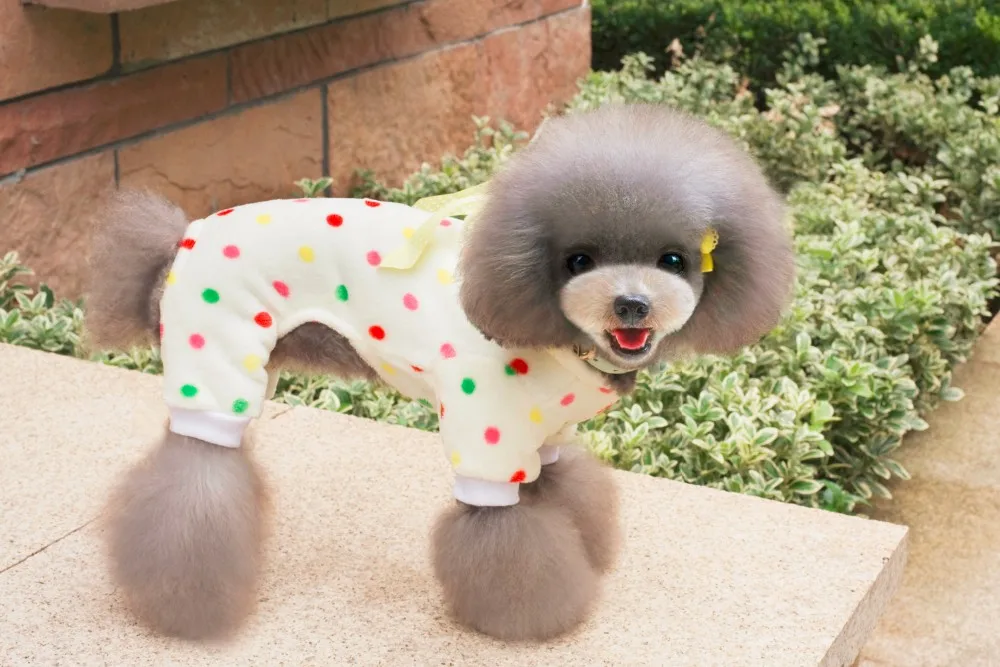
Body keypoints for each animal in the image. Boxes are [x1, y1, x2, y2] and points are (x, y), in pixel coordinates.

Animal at [84, 103, 795, 642]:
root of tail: (180, 238)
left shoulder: (545, 436)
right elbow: (508, 541)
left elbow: (566, 492)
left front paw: (589, 551)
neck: (552, 332)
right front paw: (534, 614)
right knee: (194, 481)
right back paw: (185, 604)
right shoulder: (489, 439)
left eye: (674, 259)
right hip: (216, 361)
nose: (632, 304)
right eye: (578, 259)